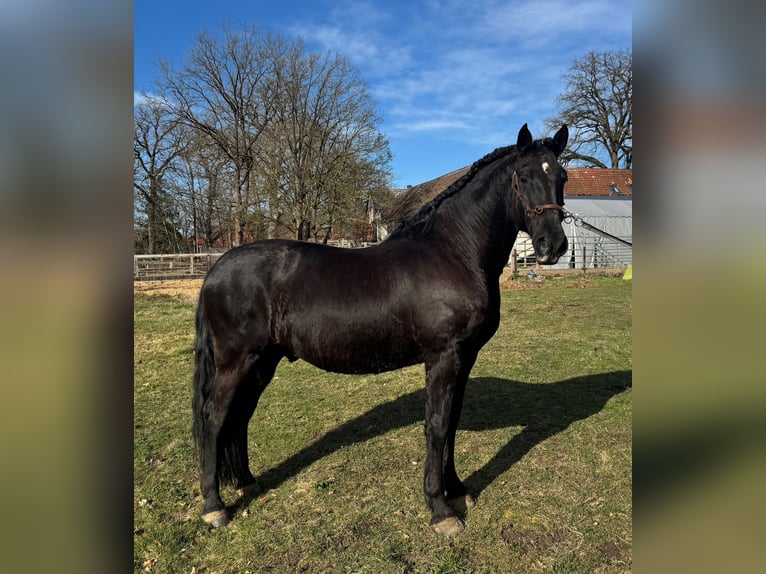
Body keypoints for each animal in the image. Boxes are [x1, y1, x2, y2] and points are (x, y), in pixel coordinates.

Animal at [192, 123, 570, 536]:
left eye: (562, 176)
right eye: (524, 176)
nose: (553, 246)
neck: (454, 253)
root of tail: (216, 269)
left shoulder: (465, 358)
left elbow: (452, 423)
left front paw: (456, 490)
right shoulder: (443, 358)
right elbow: (437, 426)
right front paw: (440, 510)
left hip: (262, 362)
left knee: (240, 416)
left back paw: (247, 483)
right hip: (236, 361)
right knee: (214, 418)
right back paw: (214, 507)